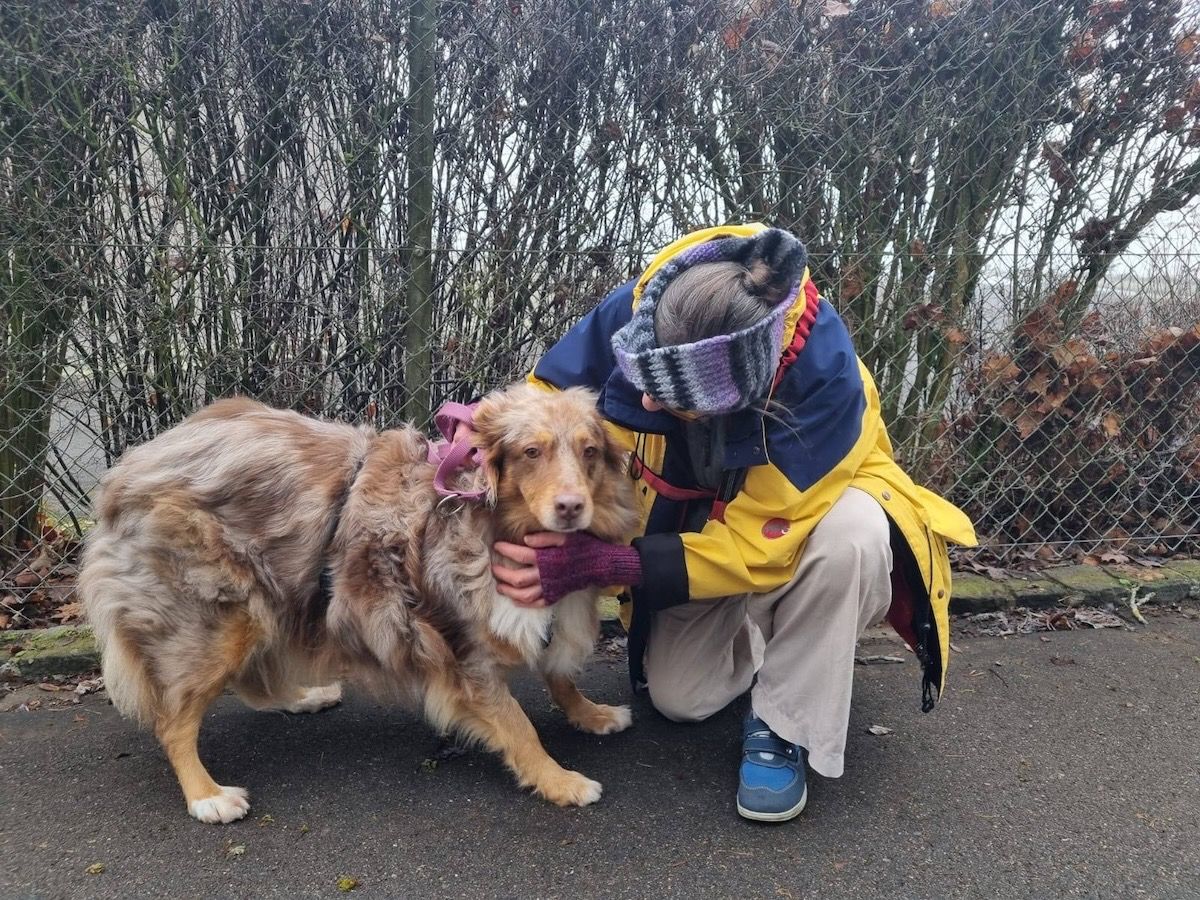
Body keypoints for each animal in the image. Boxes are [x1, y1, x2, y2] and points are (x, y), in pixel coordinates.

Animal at [80, 383, 639, 823]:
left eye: (590, 451)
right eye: (530, 452)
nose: (571, 507)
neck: (498, 523)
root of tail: (129, 468)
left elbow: (560, 674)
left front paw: (590, 714)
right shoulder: (463, 651)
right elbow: (520, 727)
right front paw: (560, 780)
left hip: (270, 599)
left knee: (251, 679)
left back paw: (303, 697)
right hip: (219, 618)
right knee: (173, 720)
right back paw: (207, 796)